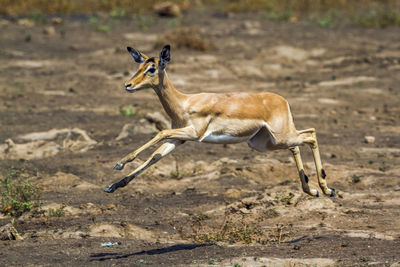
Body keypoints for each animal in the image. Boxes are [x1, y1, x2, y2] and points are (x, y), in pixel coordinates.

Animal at [104, 45, 334, 198]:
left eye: (152, 69)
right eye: (139, 66)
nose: (128, 85)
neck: (183, 103)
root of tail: (282, 100)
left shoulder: (194, 134)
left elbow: (160, 133)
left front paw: (119, 163)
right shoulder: (179, 138)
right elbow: (155, 156)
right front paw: (112, 186)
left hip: (280, 137)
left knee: (311, 135)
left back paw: (326, 188)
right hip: (266, 143)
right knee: (298, 144)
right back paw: (313, 190)